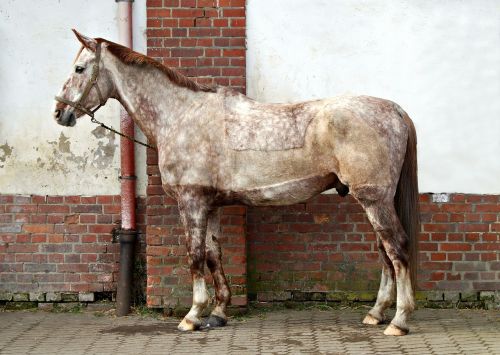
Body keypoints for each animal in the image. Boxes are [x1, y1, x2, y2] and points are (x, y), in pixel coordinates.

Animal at [54, 29, 420, 336]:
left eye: (80, 69)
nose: (60, 113)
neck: (182, 115)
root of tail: (396, 110)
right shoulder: (210, 204)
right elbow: (213, 255)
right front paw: (217, 313)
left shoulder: (191, 202)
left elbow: (194, 257)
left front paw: (192, 315)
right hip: (375, 200)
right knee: (384, 253)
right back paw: (376, 313)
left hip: (374, 199)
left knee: (396, 248)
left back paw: (399, 321)